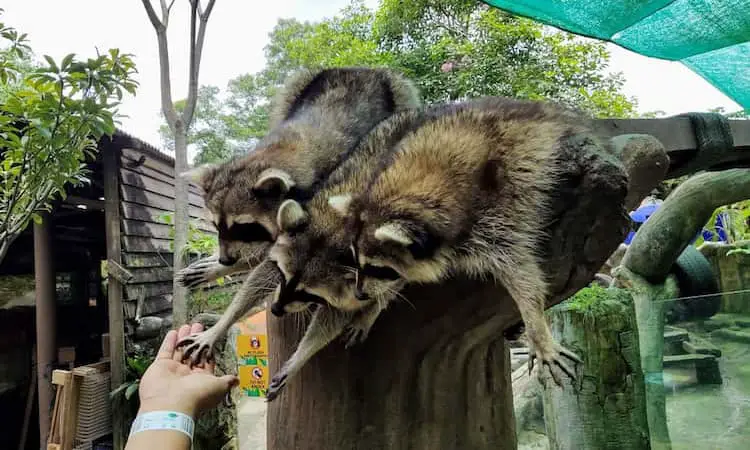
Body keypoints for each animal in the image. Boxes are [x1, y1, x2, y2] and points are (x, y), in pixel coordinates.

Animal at [174, 68, 426, 368]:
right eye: (216, 226)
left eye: (243, 228)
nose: (225, 259)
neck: (271, 155)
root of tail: (363, 70)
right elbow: (265, 261)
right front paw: (223, 272)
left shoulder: (313, 214)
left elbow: (270, 265)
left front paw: (219, 322)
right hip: (299, 85)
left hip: (400, 94)